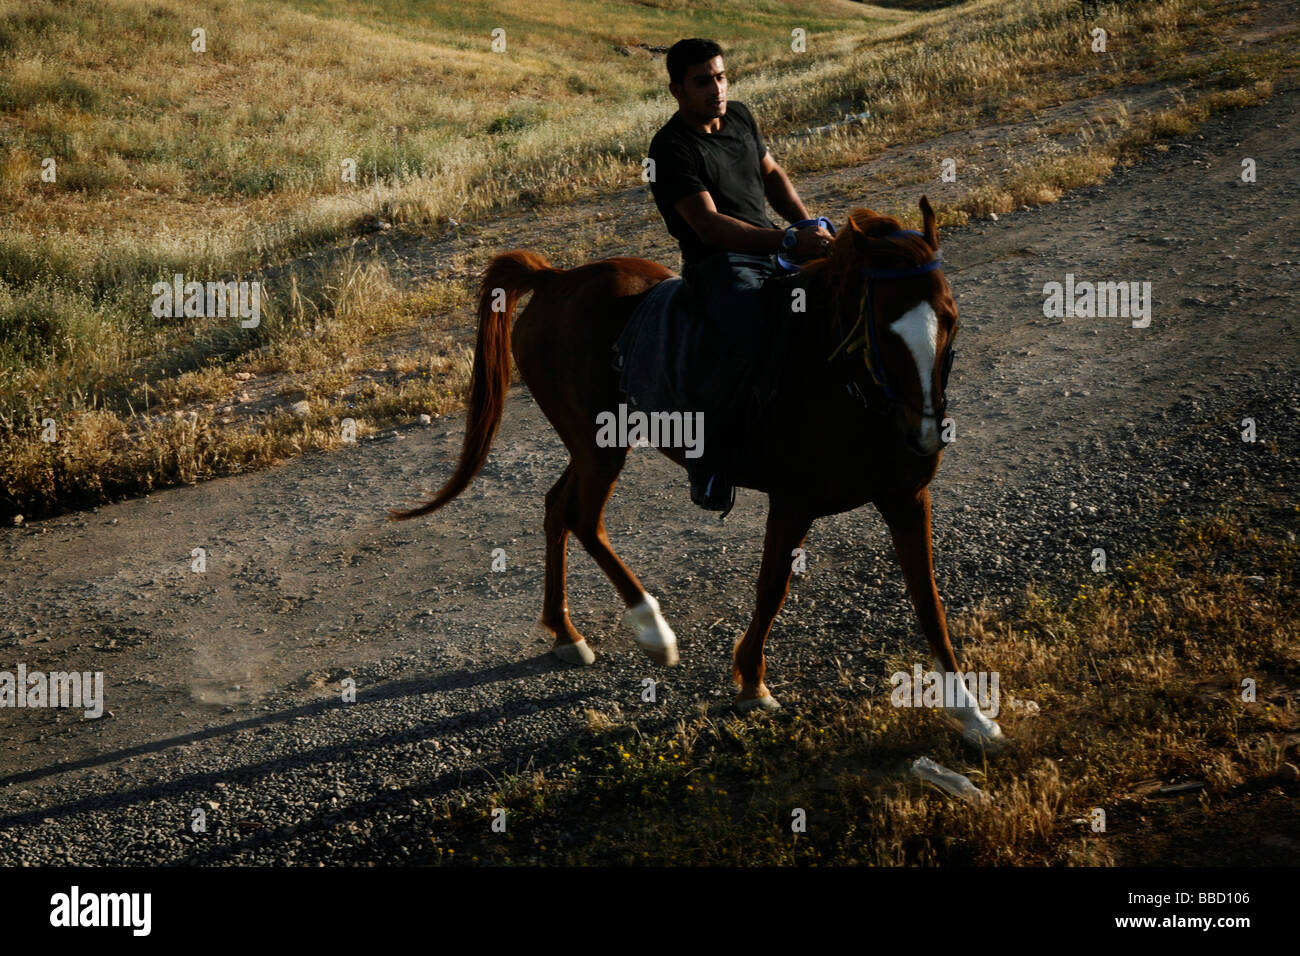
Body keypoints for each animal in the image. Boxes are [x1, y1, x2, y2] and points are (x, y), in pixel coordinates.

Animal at [390, 195, 998, 749]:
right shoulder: (793, 501)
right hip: (598, 446)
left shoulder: (906, 497)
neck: (839, 383)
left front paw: (971, 714)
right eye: (882, 328)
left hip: (592, 447)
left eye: (949, 318)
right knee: (583, 518)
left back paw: (565, 631)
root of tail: (556, 279)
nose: (922, 435)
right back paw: (652, 631)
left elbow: (929, 601)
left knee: (557, 508)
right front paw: (752, 683)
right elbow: (771, 587)